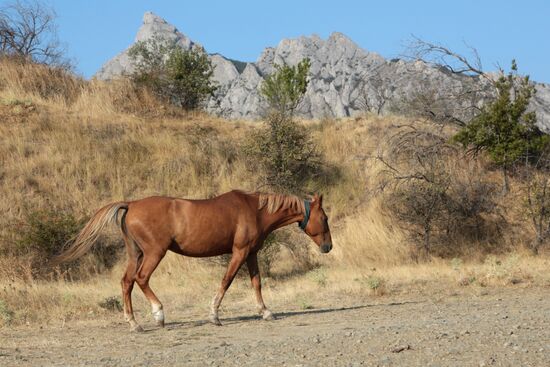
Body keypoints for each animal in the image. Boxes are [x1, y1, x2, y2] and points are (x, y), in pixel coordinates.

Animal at [56, 191, 334, 332]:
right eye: (325, 217)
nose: (328, 246)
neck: (256, 210)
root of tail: (131, 204)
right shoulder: (239, 252)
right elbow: (226, 281)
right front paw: (214, 315)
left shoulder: (251, 254)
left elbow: (256, 283)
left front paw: (265, 312)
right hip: (154, 253)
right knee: (141, 279)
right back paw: (158, 314)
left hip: (136, 254)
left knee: (126, 282)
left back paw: (134, 323)